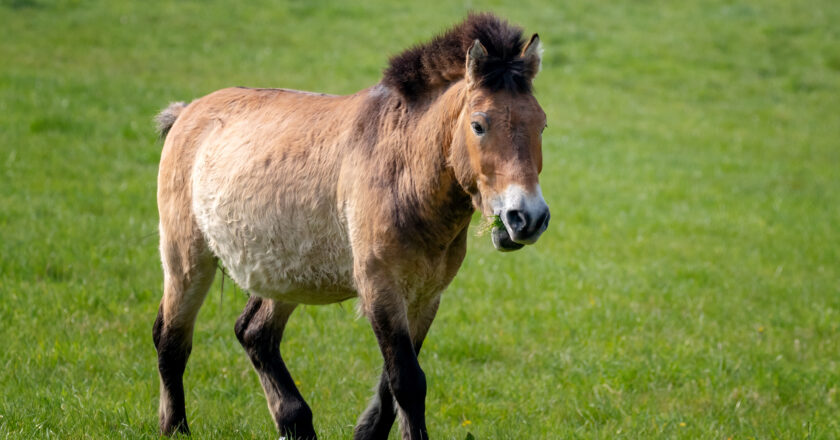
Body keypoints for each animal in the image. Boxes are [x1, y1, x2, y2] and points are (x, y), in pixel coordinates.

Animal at [153, 12, 548, 440]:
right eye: (478, 125)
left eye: (541, 125)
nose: (527, 217)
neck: (402, 171)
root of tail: (187, 112)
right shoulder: (379, 288)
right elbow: (408, 381)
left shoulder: (425, 297)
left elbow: (391, 387)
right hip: (187, 260)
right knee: (171, 338)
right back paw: (175, 426)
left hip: (283, 275)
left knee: (254, 333)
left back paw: (295, 422)